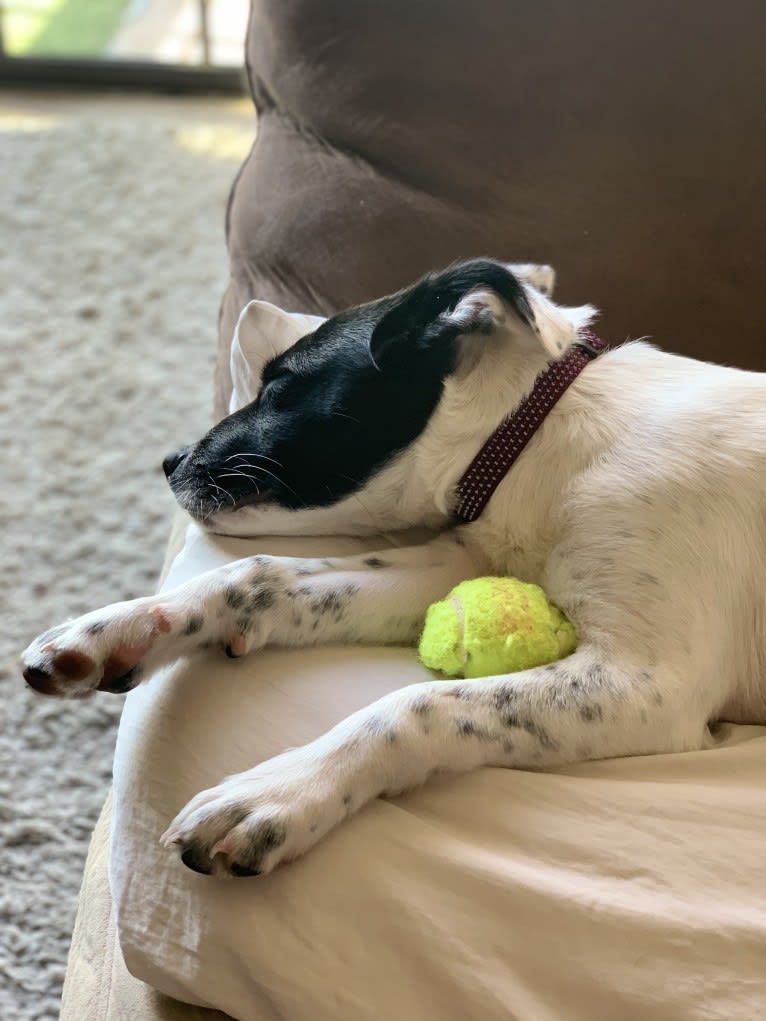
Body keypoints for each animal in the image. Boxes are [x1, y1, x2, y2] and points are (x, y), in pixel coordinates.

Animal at [20, 261, 763, 878]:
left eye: (281, 381)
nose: (169, 461)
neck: (538, 437)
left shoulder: (647, 681)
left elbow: (418, 703)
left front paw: (280, 791)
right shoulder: (458, 565)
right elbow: (261, 576)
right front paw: (116, 627)